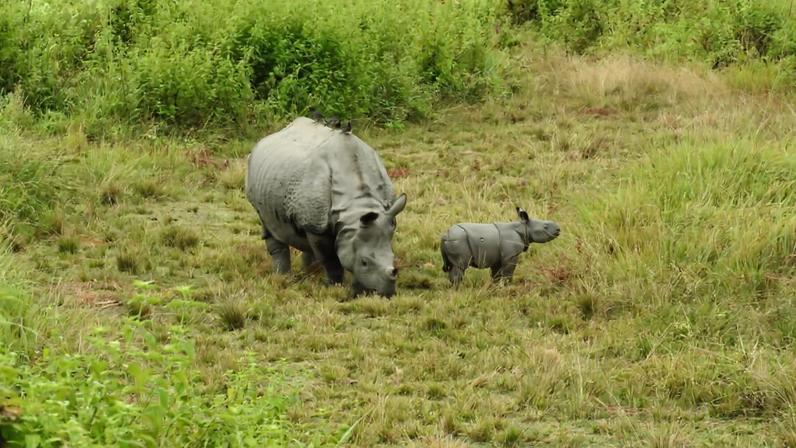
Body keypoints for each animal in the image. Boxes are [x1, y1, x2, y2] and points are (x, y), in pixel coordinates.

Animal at [245, 116, 407, 297]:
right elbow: (330, 259)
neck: (356, 207)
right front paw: (334, 286)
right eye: (364, 262)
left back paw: (309, 273)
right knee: (269, 225)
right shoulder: (318, 228)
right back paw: (282, 277)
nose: (387, 293)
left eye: (393, 257)